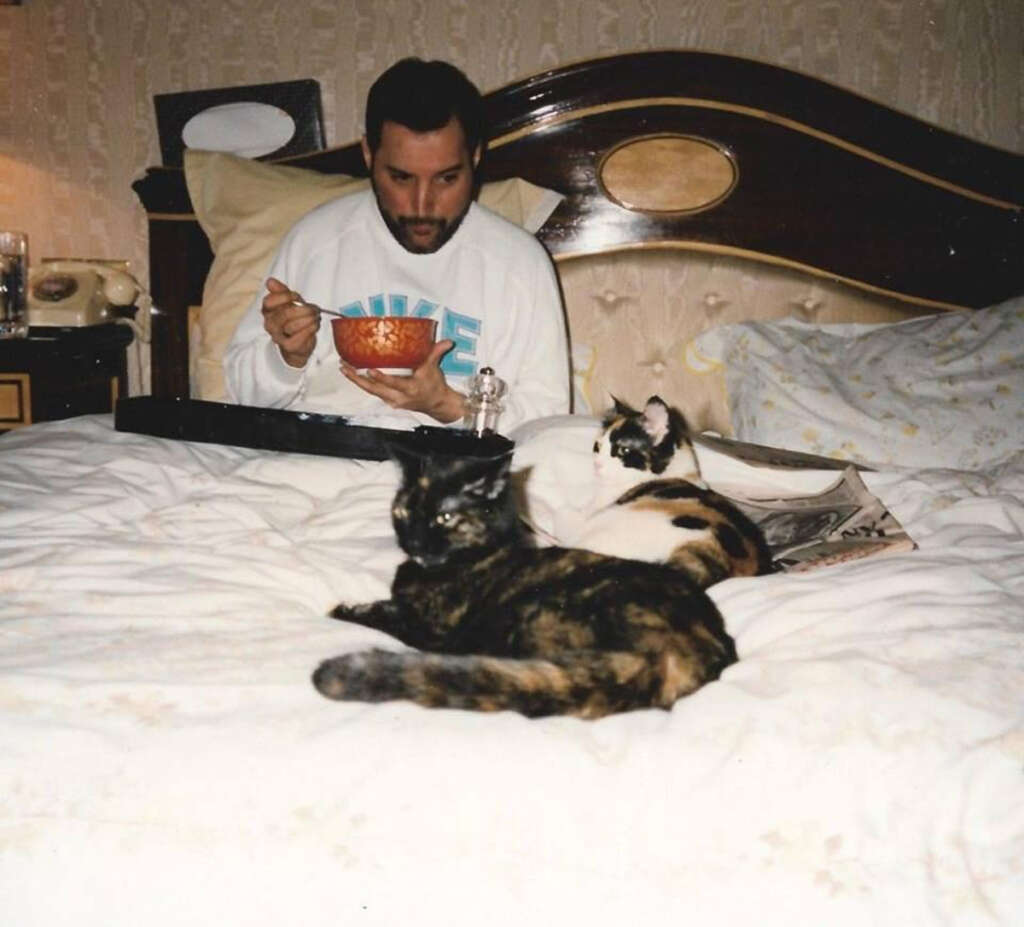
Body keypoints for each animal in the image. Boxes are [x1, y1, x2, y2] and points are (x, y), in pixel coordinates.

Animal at [313, 444, 745, 721]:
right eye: (402, 511)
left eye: (444, 518)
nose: (413, 543)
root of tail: (671, 654)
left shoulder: (431, 626)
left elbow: (376, 614)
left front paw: (344, 608)